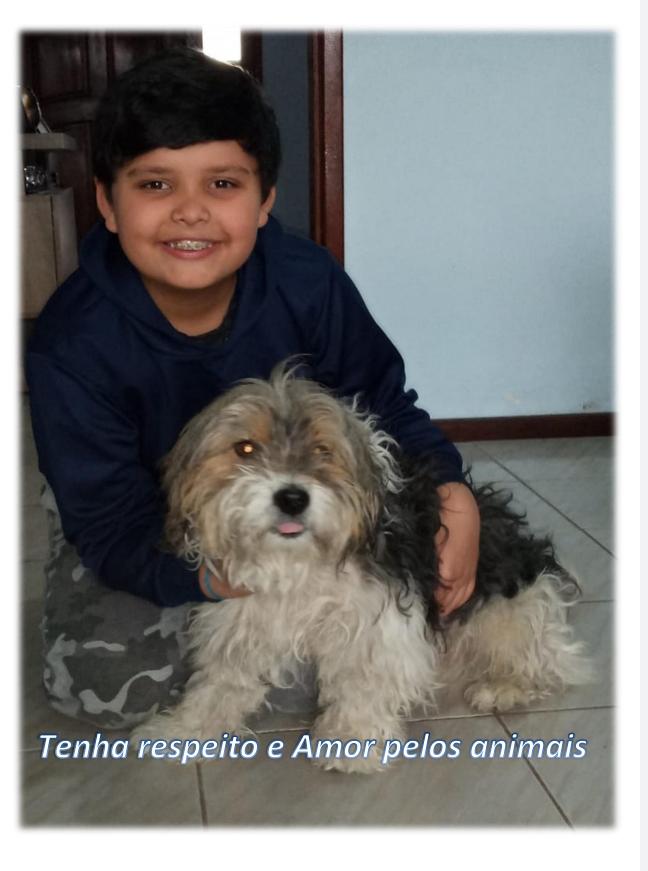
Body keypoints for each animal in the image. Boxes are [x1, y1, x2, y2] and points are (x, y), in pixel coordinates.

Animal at [135, 364, 591, 772]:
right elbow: (222, 678)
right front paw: (188, 729)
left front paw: (350, 740)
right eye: (245, 448)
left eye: (323, 450)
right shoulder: (240, 615)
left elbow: (363, 678)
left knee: (545, 660)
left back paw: (505, 686)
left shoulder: (376, 620)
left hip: (506, 608)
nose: (292, 498)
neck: (297, 561)